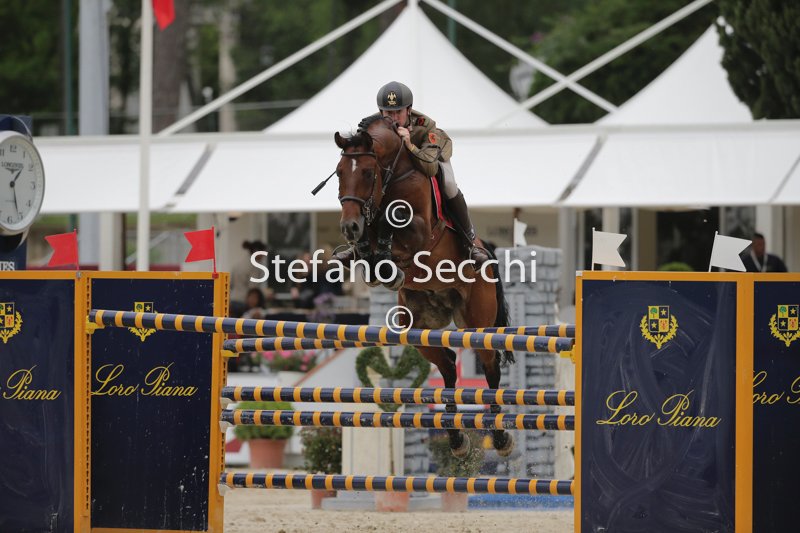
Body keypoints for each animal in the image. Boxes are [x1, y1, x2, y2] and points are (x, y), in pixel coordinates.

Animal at [332, 115, 515, 458]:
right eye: (339, 173)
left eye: (367, 172)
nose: (349, 226)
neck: (393, 172)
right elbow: (371, 238)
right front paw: (372, 260)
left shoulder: (419, 231)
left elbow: (390, 221)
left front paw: (385, 261)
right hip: (418, 329)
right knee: (448, 366)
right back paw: (457, 441)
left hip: (477, 323)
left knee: (490, 368)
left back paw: (500, 439)